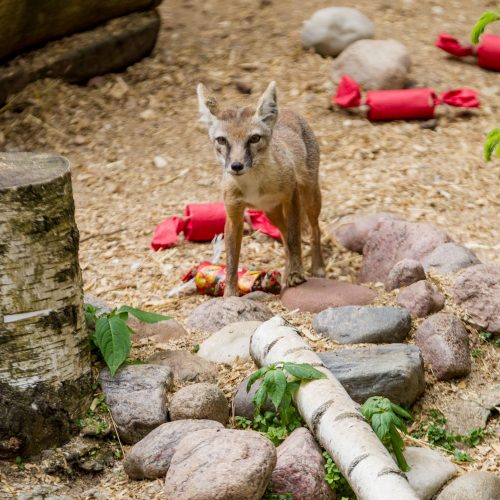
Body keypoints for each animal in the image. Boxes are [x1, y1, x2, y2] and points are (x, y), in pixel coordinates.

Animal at [197, 80, 326, 294]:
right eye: (222, 140)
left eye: (254, 139)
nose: (236, 166)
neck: (253, 185)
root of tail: (288, 110)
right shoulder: (234, 215)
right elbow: (231, 262)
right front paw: (229, 294)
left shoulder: (292, 197)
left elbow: (295, 239)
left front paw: (296, 274)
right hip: (271, 213)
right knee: (284, 237)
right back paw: (287, 269)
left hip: (310, 198)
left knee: (314, 230)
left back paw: (317, 267)